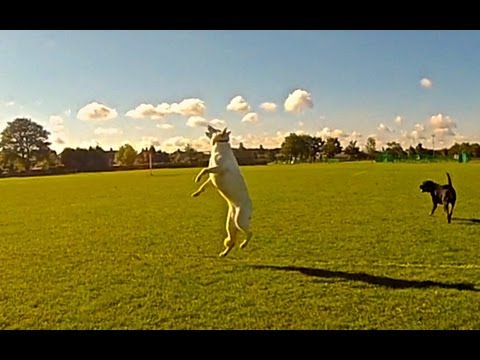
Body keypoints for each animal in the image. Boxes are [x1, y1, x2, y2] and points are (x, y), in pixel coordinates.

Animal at [191, 126, 253, 256]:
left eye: (215, 129)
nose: (208, 125)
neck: (220, 144)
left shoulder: (219, 169)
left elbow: (204, 169)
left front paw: (197, 178)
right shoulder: (212, 176)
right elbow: (204, 183)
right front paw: (197, 192)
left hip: (240, 221)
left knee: (250, 233)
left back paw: (243, 245)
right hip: (230, 225)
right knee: (232, 242)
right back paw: (224, 254)